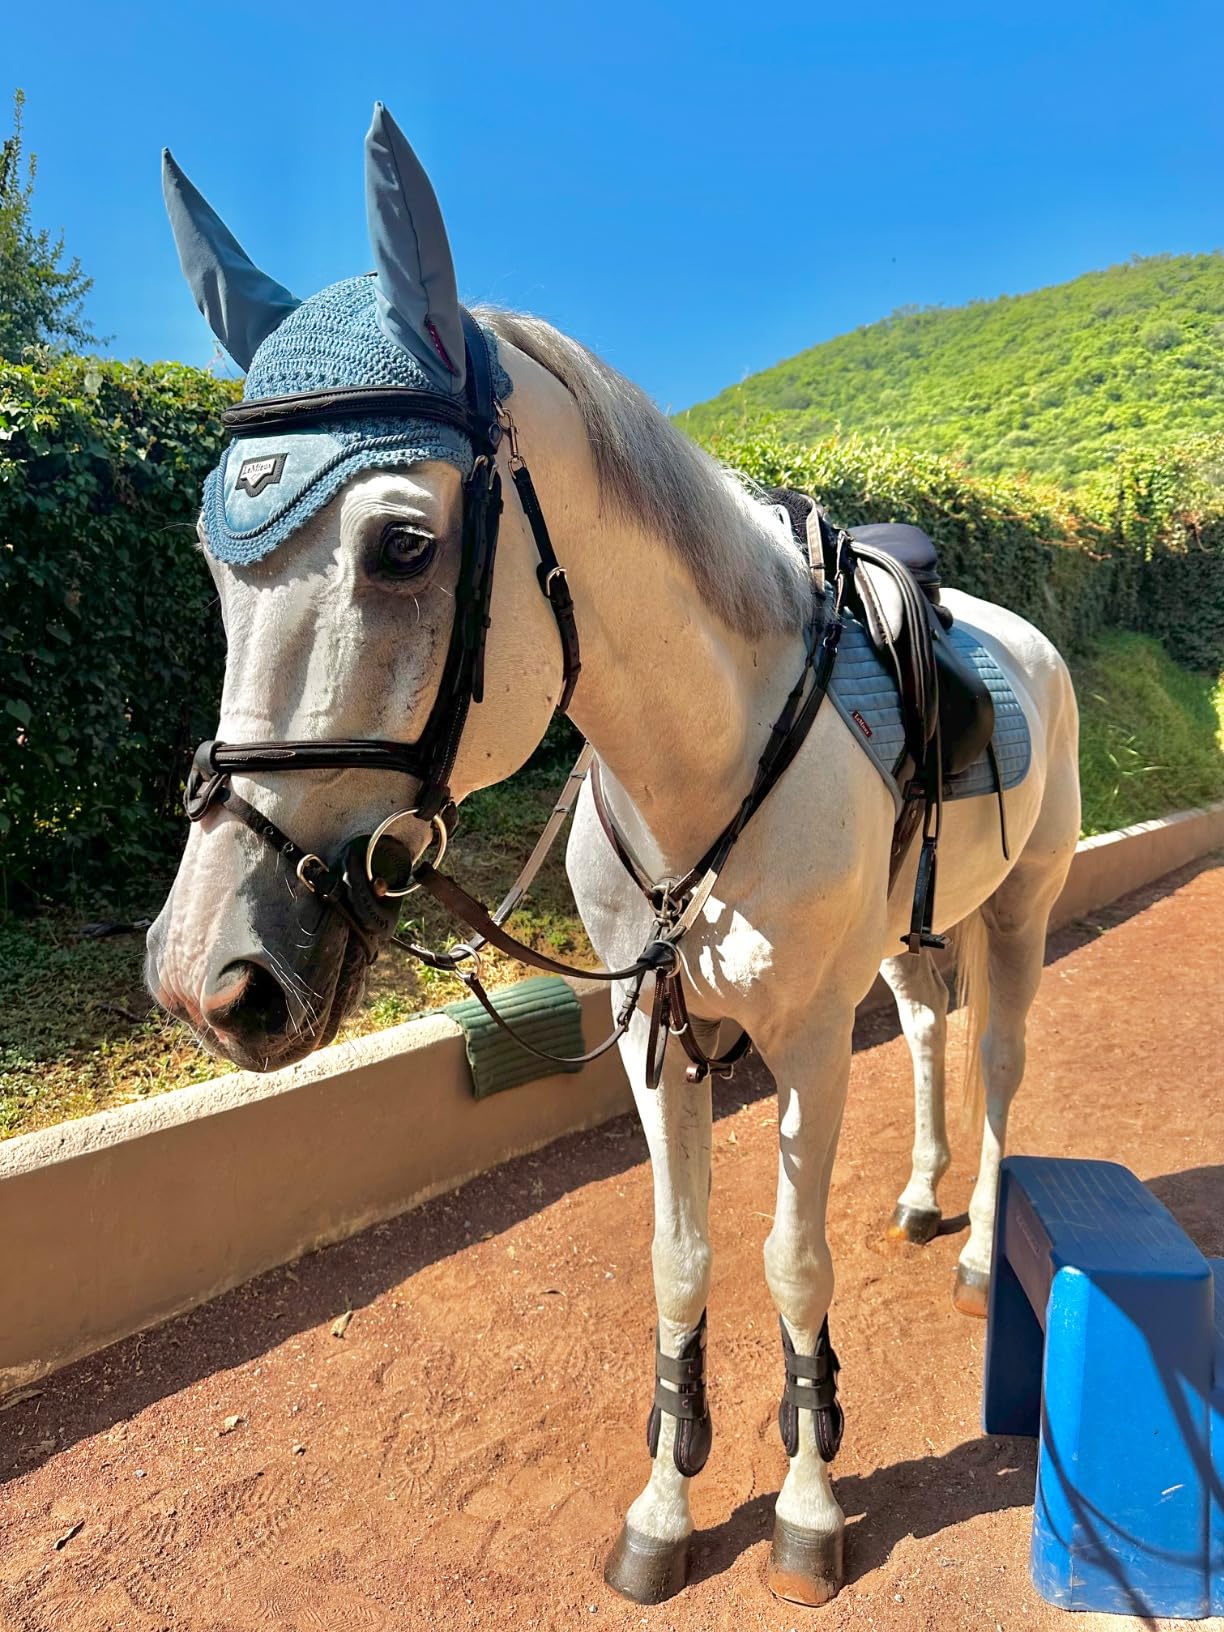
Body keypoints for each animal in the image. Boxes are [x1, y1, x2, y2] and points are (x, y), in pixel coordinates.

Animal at [146, 104, 1080, 1608]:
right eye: (210, 558)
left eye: (400, 544)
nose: (204, 974)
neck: (709, 752)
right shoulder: (660, 1037)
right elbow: (680, 1261)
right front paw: (663, 1507)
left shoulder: (804, 1043)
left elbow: (790, 1263)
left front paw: (807, 1506)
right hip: (901, 941)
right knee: (935, 1036)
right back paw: (923, 1195)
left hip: (1020, 911)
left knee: (997, 1060)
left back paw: (988, 1244)